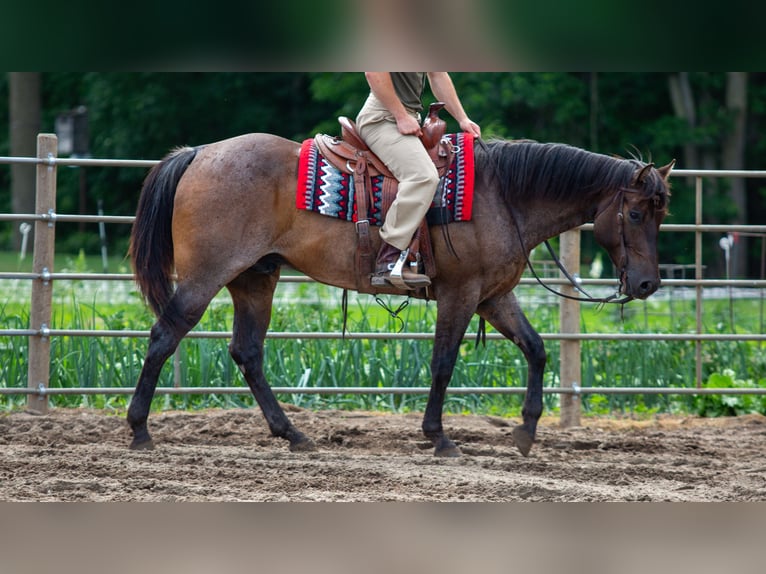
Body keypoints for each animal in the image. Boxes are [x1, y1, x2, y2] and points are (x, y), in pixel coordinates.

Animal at [127, 133, 673, 457]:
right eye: (636, 214)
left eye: (661, 214)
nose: (648, 285)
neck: (503, 196)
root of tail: (199, 154)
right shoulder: (461, 293)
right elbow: (443, 363)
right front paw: (439, 437)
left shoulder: (494, 297)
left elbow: (536, 350)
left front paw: (525, 432)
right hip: (206, 276)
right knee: (163, 337)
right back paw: (139, 431)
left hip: (255, 278)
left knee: (248, 352)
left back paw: (295, 435)